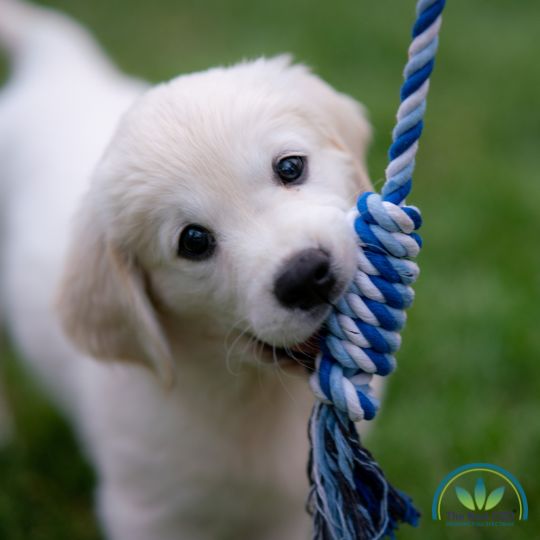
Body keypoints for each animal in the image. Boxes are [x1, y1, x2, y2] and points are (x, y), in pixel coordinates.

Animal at [0, 1, 372, 540]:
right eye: (193, 241)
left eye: (290, 167)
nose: (306, 275)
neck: (251, 395)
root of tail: (56, 70)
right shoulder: (147, 511)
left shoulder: (294, 514)